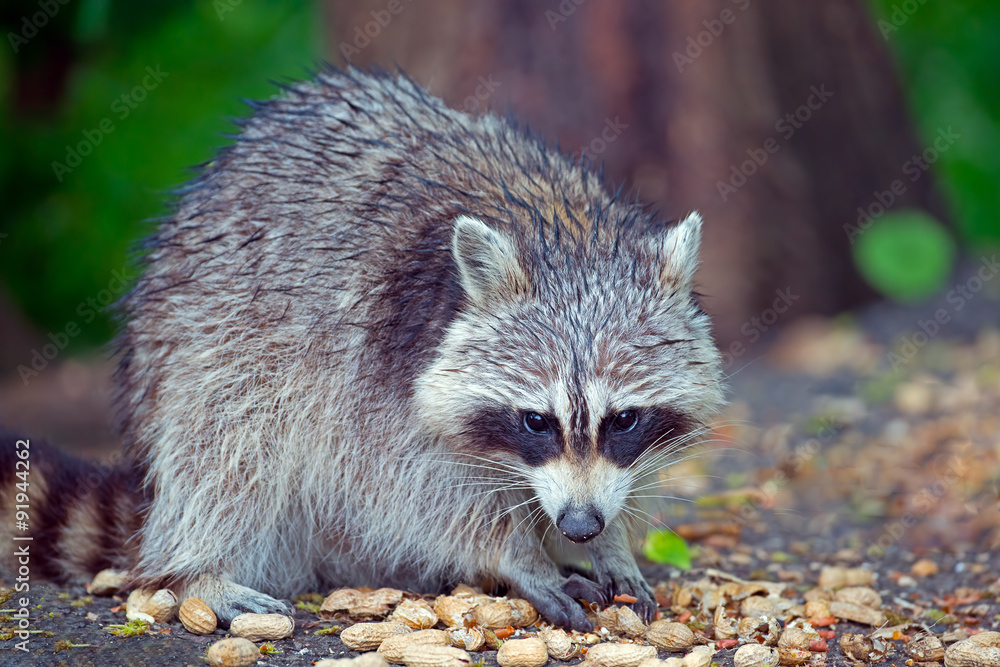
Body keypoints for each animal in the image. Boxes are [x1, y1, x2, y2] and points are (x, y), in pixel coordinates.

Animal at [1, 68, 724, 631]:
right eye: (535, 421)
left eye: (623, 419)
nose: (579, 525)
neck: (567, 237)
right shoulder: (373, 372)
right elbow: (404, 488)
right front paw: (516, 554)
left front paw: (614, 540)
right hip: (199, 339)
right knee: (227, 445)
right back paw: (199, 566)